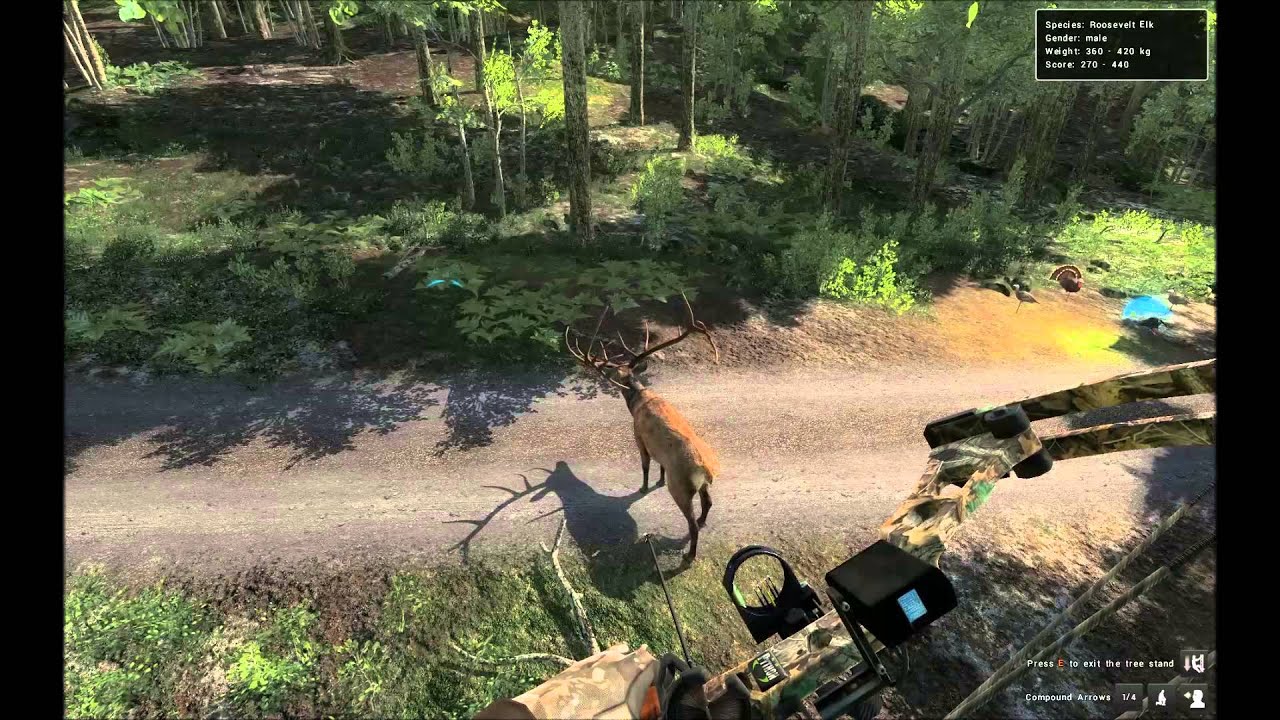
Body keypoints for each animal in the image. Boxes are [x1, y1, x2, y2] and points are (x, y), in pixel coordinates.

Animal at [566, 296, 721, 563]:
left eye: (610, 370)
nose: (604, 371)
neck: (638, 401)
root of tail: (707, 469)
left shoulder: (638, 436)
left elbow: (645, 465)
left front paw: (644, 487)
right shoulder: (657, 447)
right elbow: (659, 465)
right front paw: (657, 481)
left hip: (680, 487)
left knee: (690, 521)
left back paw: (689, 555)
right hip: (702, 485)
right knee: (708, 503)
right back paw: (702, 522)